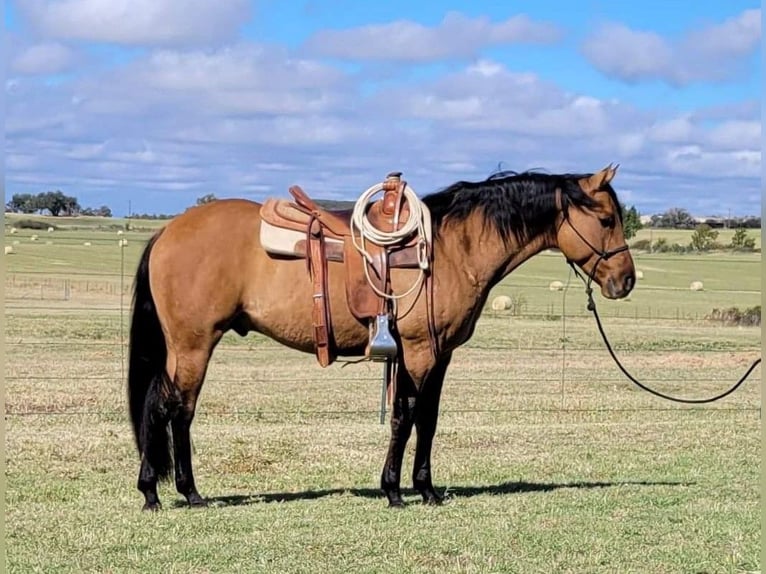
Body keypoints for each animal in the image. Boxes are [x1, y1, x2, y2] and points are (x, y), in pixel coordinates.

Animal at [129, 164, 640, 510]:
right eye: (607, 220)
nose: (626, 281)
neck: (453, 248)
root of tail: (168, 231)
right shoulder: (418, 351)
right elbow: (405, 416)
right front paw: (395, 489)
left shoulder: (440, 354)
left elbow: (427, 420)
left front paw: (426, 489)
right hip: (193, 345)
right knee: (174, 410)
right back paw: (178, 492)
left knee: (164, 407)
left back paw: (162, 489)